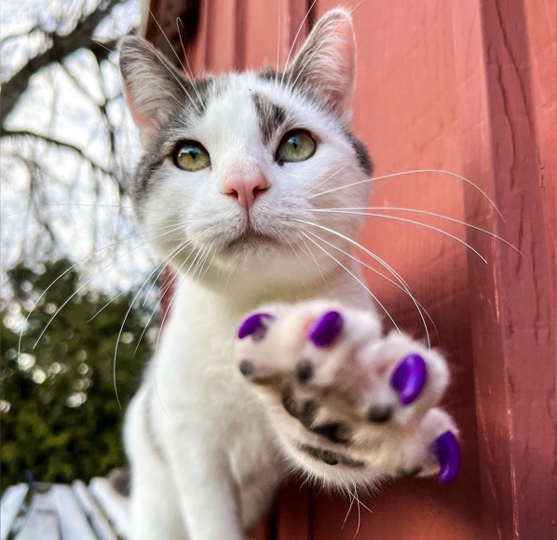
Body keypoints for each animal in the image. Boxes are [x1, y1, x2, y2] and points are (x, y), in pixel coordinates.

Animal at [118, 9, 460, 540]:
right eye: (189, 156)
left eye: (297, 144)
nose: (244, 184)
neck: (253, 305)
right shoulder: (191, 445)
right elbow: (211, 517)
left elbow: (331, 455)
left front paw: (347, 387)